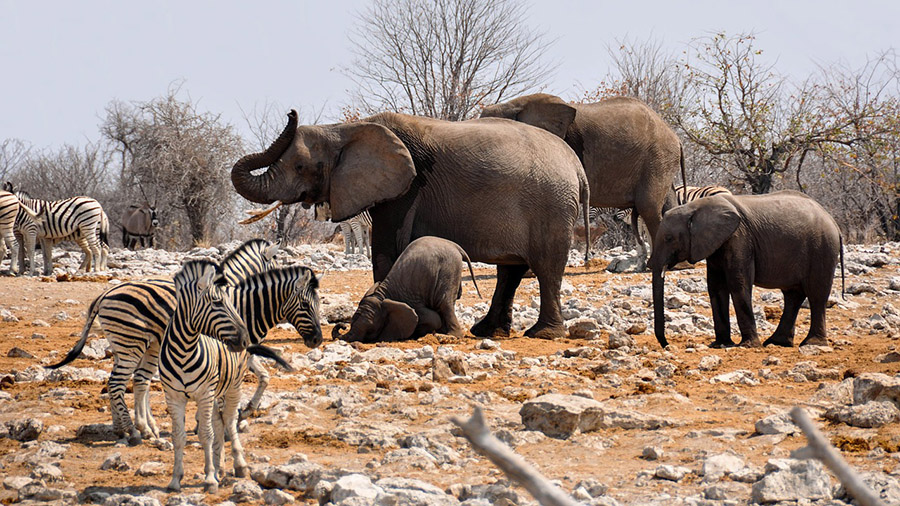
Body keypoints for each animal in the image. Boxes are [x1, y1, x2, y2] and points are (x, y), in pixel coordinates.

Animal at [332, 236, 482, 343]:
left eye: (369, 329)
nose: (343, 326)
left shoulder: (413, 301)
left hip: (449, 268)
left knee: (444, 303)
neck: (383, 295)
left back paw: (451, 336)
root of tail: (456, 246)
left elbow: (432, 317)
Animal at [480, 93, 686, 268]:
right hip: (660, 163)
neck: (514, 105)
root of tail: (675, 137)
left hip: (657, 159)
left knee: (648, 207)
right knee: (667, 203)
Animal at [649, 190, 845, 349]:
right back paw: (777, 342)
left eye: (669, 238)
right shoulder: (716, 244)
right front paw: (720, 344)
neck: (694, 207)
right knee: (793, 296)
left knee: (816, 294)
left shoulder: (739, 238)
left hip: (822, 249)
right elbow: (716, 287)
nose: (667, 345)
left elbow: (738, 284)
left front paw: (748, 345)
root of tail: (834, 222)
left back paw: (812, 344)